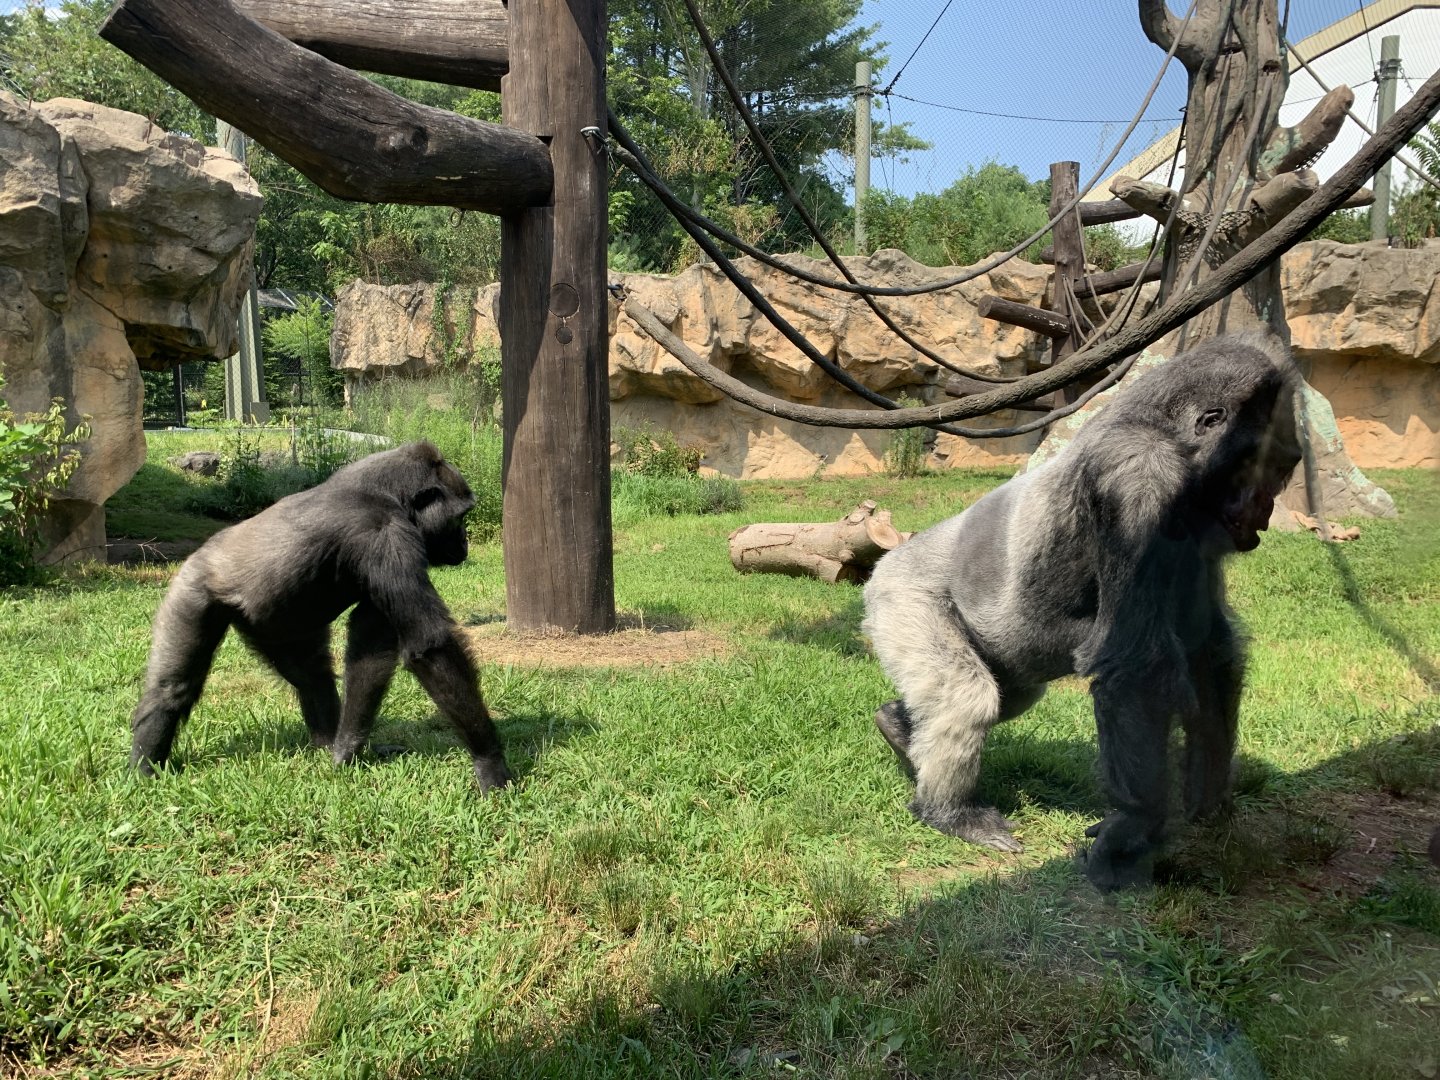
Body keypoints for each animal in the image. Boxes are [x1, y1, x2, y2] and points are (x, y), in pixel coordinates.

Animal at [129, 441, 513, 792]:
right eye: (460, 516)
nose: (464, 542)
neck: (391, 494)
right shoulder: (387, 536)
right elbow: (429, 645)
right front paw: (490, 761)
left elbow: (371, 640)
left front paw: (348, 749)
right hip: (193, 589)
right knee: (172, 687)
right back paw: (144, 768)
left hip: (277, 624)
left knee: (311, 674)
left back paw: (327, 742)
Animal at [861, 334, 1303, 889]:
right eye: (1268, 465)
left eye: (1283, 468)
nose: (1264, 512)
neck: (1170, 437)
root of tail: (890, 557)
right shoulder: (1138, 476)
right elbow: (1138, 665)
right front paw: (1133, 830)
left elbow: (1209, 651)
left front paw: (1209, 800)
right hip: (900, 595)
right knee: (967, 695)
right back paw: (949, 813)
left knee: (1006, 696)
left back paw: (898, 729)